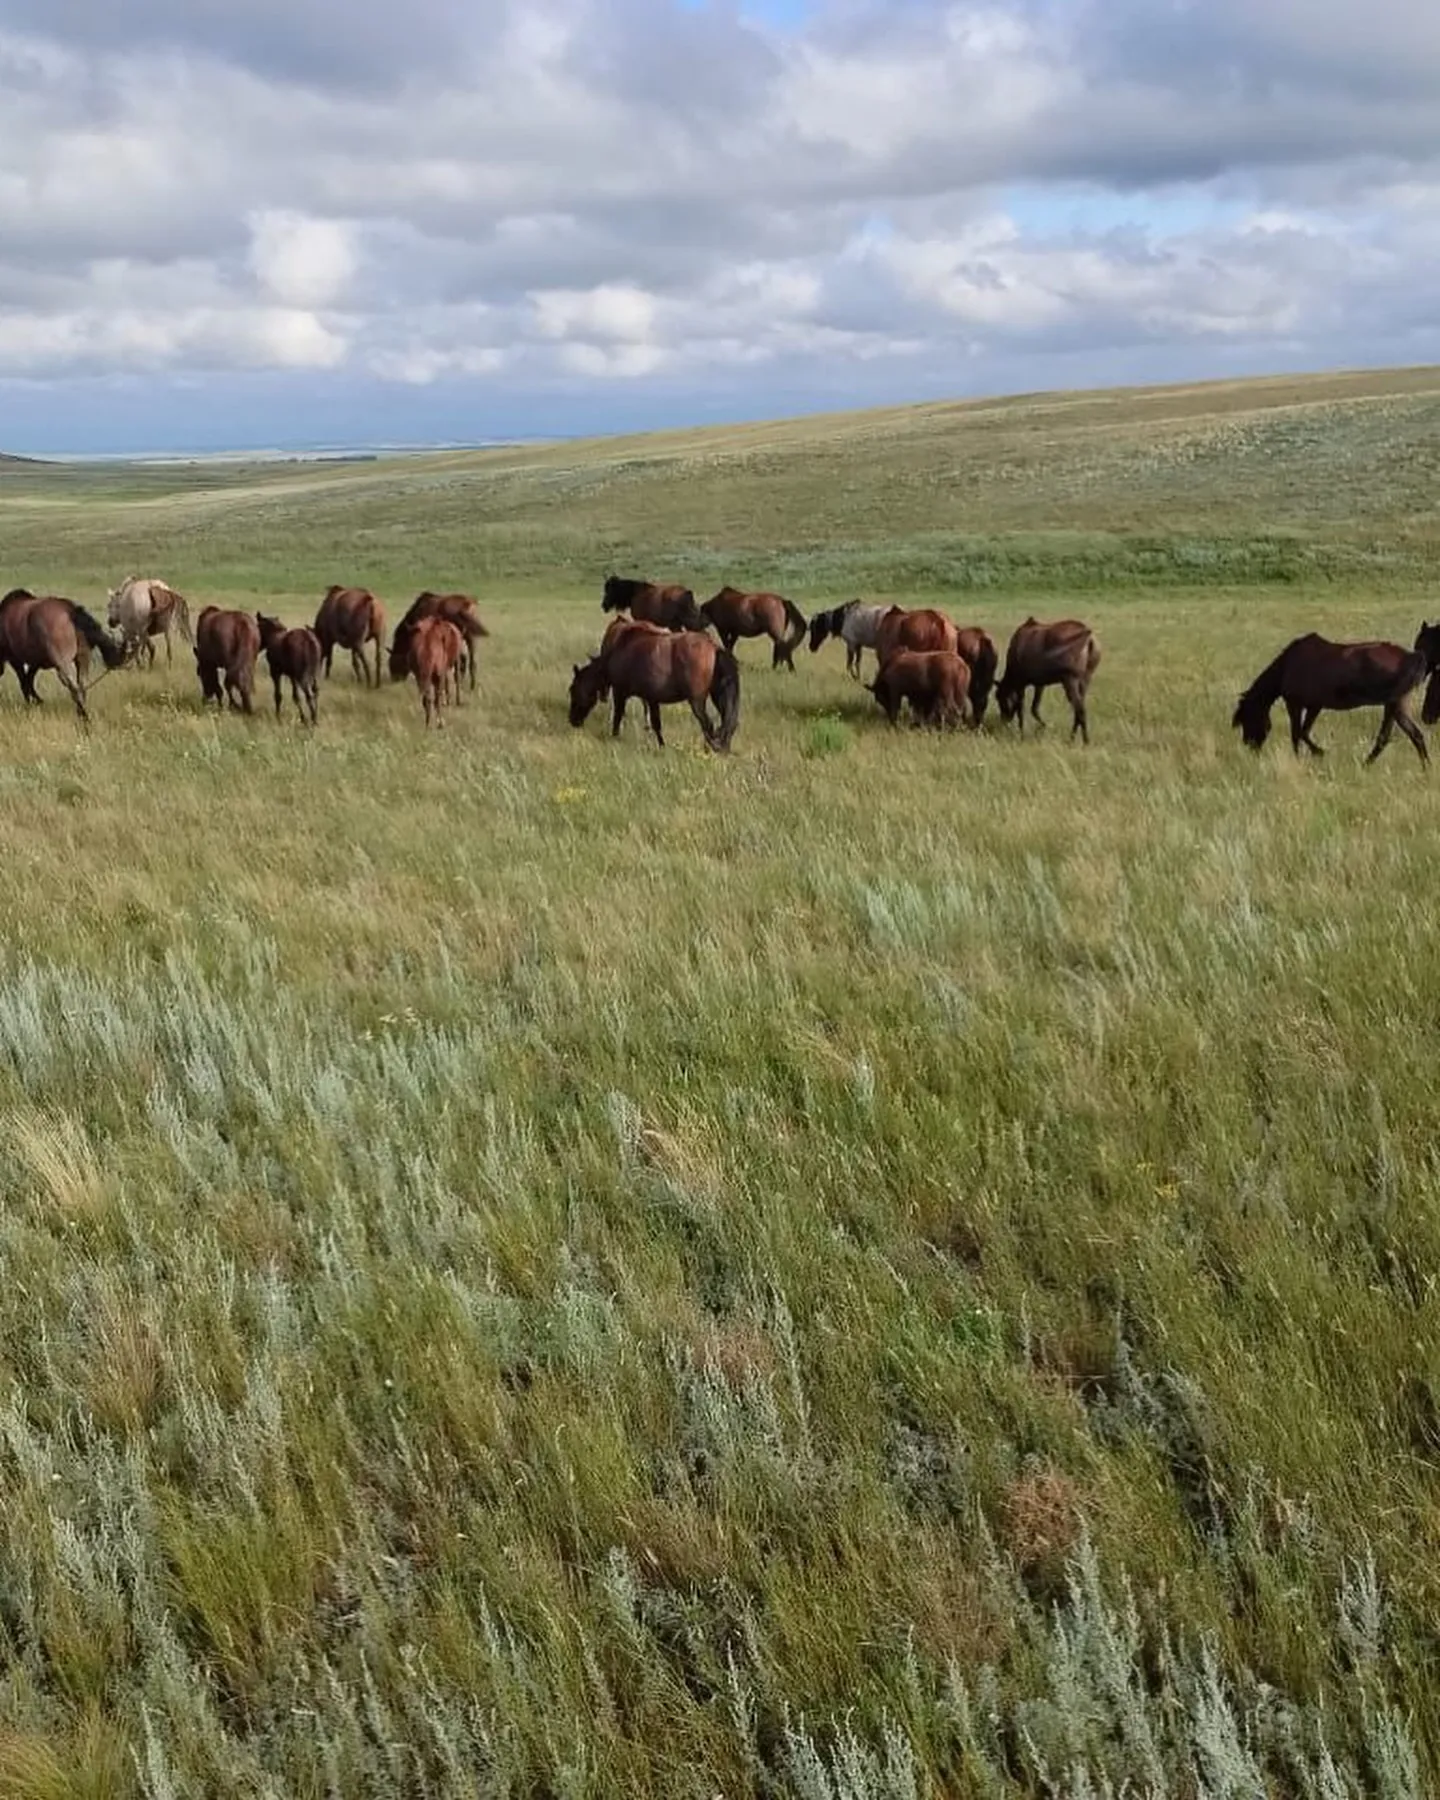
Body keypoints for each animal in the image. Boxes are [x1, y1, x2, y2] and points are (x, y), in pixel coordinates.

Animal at [0, 586, 127, 720]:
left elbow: (24, 682)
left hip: (62, 662)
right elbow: (29, 679)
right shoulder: (35, 662)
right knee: (81, 684)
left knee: (73, 686)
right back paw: (81, 713)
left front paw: (33, 703)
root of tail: (70, 612)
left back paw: (84, 716)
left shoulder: (15, 659)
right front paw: (37, 701)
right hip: (83, 657)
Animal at [565, 626, 738, 752]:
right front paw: (662, 746)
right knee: (727, 722)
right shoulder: (652, 698)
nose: (572, 720)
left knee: (708, 725)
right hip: (717, 696)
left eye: (573, 690)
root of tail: (714, 647)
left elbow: (618, 716)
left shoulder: (620, 692)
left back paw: (710, 749)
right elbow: (656, 724)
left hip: (697, 701)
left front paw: (614, 737)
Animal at [1224, 633, 1425, 766]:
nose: (1250, 746)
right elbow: (1304, 732)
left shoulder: (1295, 704)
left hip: (1394, 704)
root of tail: (1409, 657)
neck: (1287, 666)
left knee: (1399, 736)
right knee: (1409, 735)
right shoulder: (1314, 706)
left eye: (1247, 718)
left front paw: (1310, 756)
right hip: (1395, 705)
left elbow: (1297, 734)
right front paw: (1317, 754)